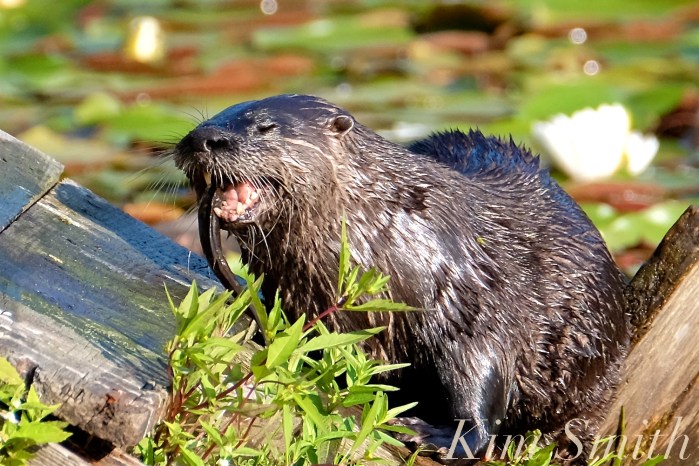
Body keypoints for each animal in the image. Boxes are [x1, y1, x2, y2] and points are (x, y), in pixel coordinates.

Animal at [172, 94, 629, 460]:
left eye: (265, 127)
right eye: (213, 116)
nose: (201, 139)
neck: (381, 235)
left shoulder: (468, 296)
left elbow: (481, 372)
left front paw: (439, 436)